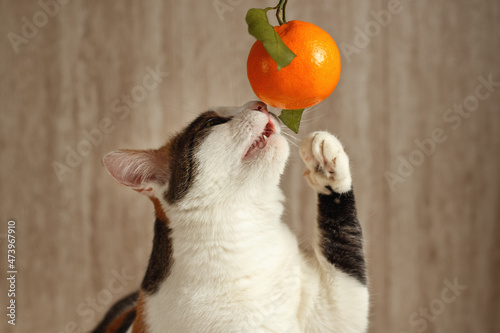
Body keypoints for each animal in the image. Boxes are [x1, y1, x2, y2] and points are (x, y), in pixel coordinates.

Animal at [92, 101, 370, 332]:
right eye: (212, 122)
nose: (261, 104)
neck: (252, 234)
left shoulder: (337, 312)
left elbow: (345, 245)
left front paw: (327, 164)